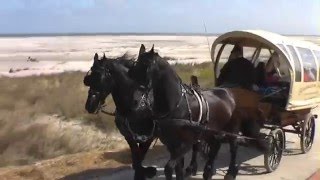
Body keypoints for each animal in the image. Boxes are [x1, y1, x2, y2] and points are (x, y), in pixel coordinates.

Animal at [134, 45, 266, 180]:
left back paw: (230, 172)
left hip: (232, 128)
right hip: (213, 130)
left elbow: (169, 168)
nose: (135, 99)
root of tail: (232, 91)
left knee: (233, 147)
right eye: (134, 65)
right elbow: (178, 168)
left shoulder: (184, 145)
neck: (178, 105)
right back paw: (208, 171)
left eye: (146, 67)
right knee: (215, 146)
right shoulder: (171, 145)